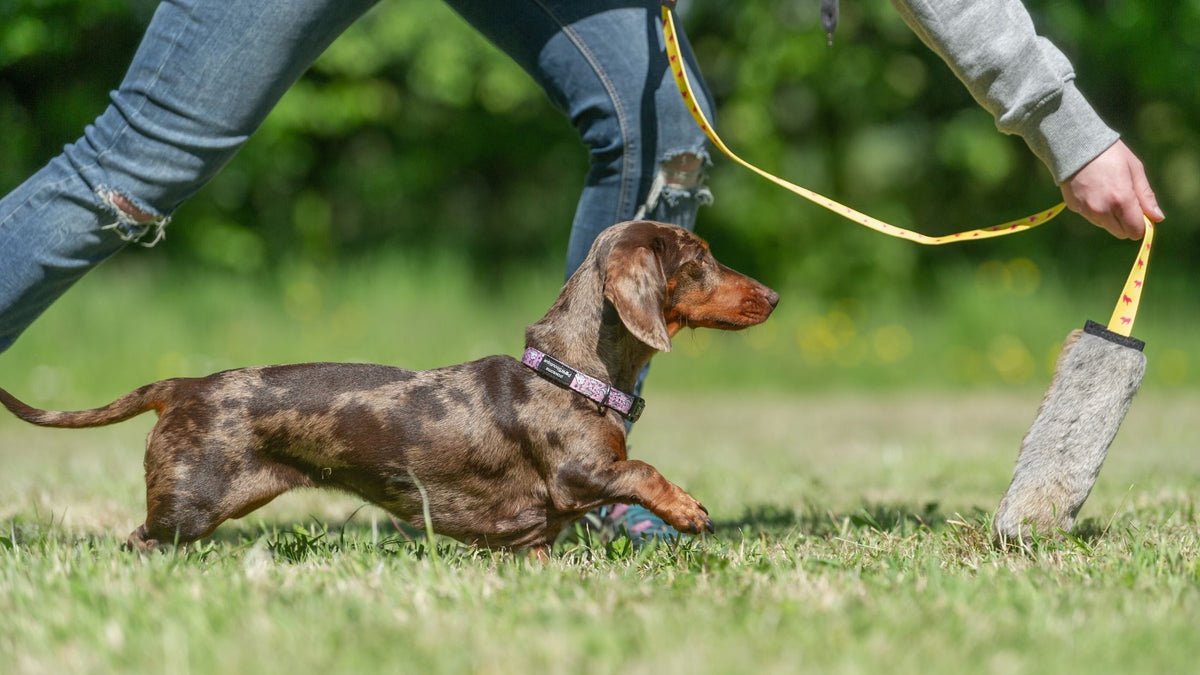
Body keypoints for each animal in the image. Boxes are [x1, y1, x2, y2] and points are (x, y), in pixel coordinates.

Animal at [0, 222, 777, 557]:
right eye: (702, 259)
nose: (772, 296)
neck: (569, 369)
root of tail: (185, 383)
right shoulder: (580, 473)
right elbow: (641, 469)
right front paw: (689, 510)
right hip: (191, 504)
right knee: (139, 539)